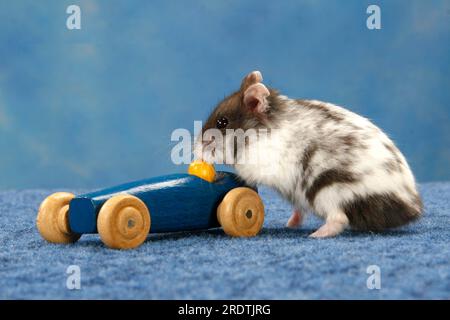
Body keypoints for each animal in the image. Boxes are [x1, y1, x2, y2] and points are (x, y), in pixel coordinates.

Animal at [194, 70, 422, 238]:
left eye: (222, 122)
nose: (195, 149)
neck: (256, 136)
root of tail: (411, 207)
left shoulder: (258, 166)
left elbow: (244, 174)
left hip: (329, 190)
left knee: (339, 219)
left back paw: (315, 235)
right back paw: (291, 224)